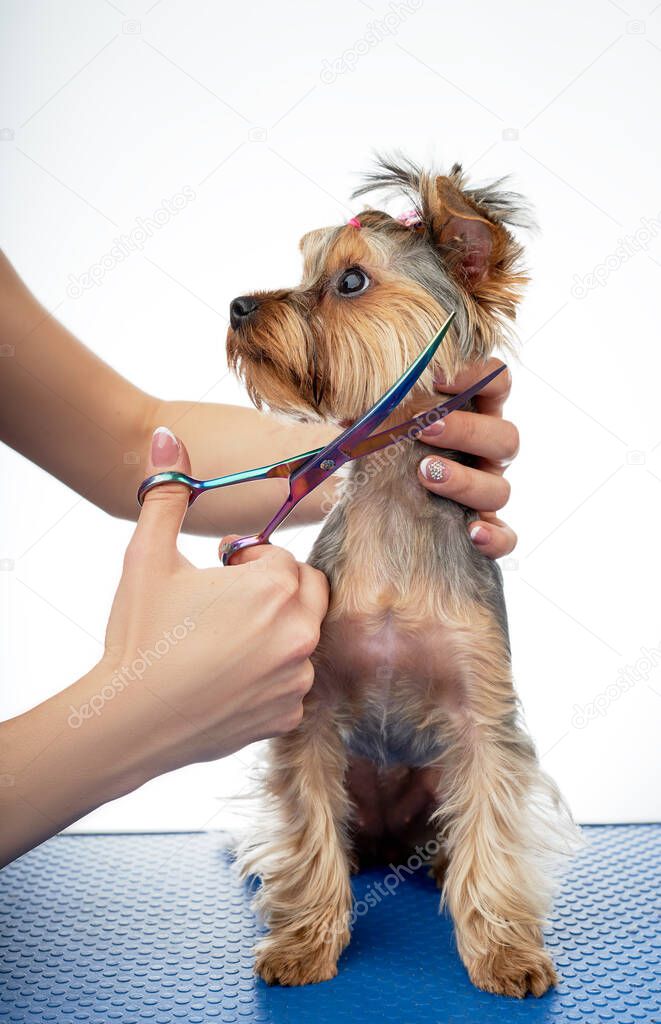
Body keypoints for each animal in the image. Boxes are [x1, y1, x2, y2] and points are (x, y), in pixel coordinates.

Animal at [228, 155, 581, 995]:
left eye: (350, 282)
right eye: (304, 270)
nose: (238, 305)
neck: (389, 491)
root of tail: (390, 837)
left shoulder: (483, 717)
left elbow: (493, 826)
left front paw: (505, 954)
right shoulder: (308, 714)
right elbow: (309, 832)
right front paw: (302, 945)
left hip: (433, 783)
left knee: (455, 833)